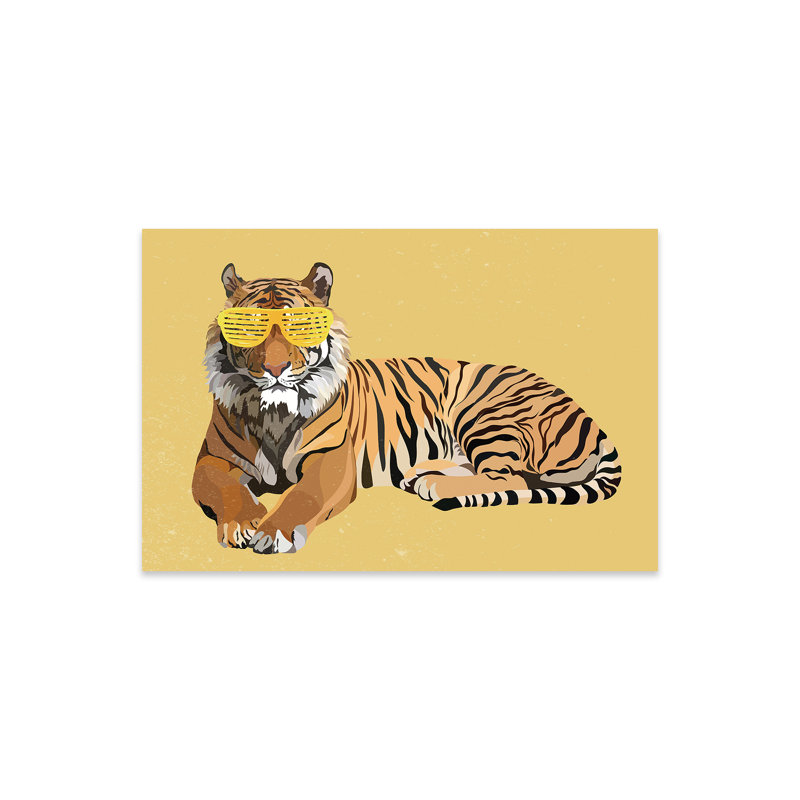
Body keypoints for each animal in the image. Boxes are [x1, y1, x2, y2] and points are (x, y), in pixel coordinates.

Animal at [192, 262, 622, 554]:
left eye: (300, 325)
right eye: (249, 328)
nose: (275, 369)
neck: (274, 413)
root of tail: (584, 413)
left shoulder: (332, 461)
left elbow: (303, 496)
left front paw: (272, 532)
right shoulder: (213, 459)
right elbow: (226, 489)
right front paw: (241, 524)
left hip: (485, 410)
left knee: (512, 479)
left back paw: (434, 484)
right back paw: (423, 474)